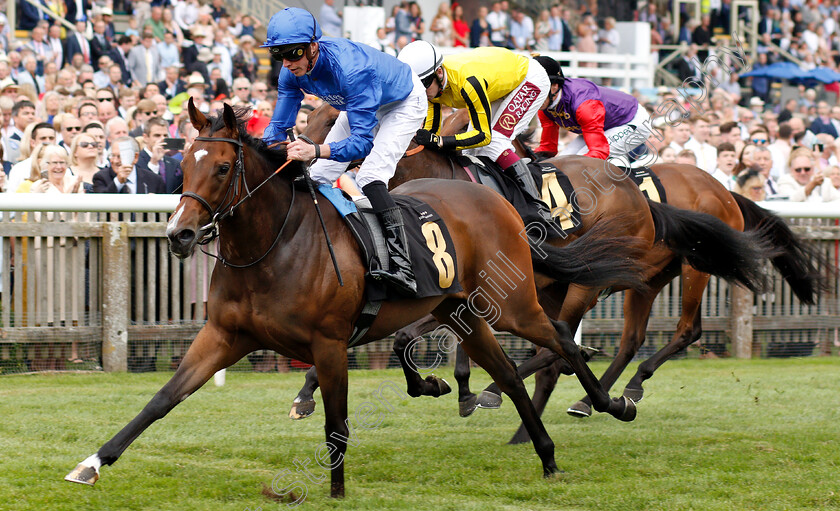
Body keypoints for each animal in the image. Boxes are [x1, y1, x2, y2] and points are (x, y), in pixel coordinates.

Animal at [67, 101, 644, 500]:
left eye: (224, 168)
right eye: (185, 163)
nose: (180, 235)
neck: (273, 245)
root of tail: (495, 200)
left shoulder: (328, 343)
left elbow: (336, 422)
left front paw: (337, 490)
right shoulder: (225, 335)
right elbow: (162, 400)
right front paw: (92, 463)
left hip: (511, 304)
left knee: (561, 342)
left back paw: (611, 404)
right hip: (462, 313)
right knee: (505, 374)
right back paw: (545, 454)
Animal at [292, 104, 776, 428]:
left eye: (333, 122)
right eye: (310, 116)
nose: (299, 165)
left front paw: (468, 389)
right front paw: (307, 392)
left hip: (651, 276)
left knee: (672, 331)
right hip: (635, 281)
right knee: (619, 338)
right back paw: (595, 392)